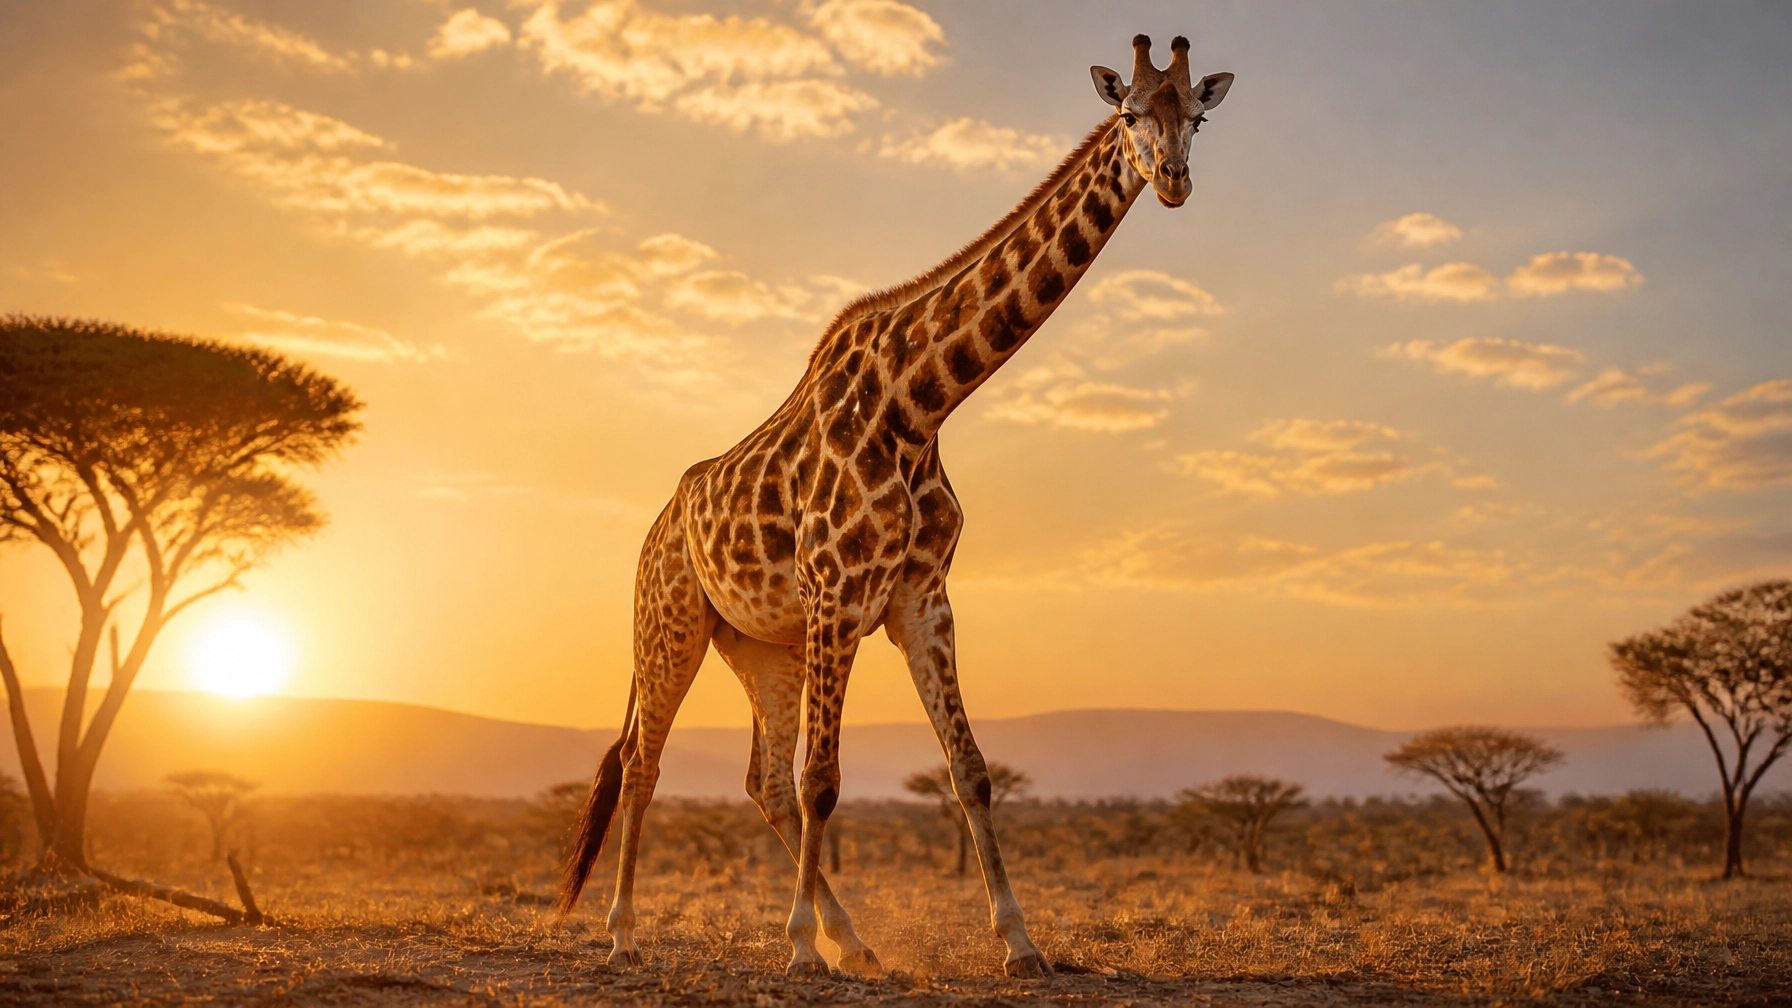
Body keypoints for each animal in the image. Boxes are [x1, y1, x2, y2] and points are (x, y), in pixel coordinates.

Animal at [558, 34, 1234, 979]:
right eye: (1128, 113)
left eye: (1198, 118)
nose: (1172, 178)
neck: (920, 404)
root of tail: (657, 527)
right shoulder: (839, 592)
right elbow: (826, 781)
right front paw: (797, 951)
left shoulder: (921, 597)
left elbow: (969, 769)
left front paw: (1020, 942)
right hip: (671, 623)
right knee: (645, 761)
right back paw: (626, 934)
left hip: (760, 645)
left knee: (760, 779)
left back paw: (854, 940)